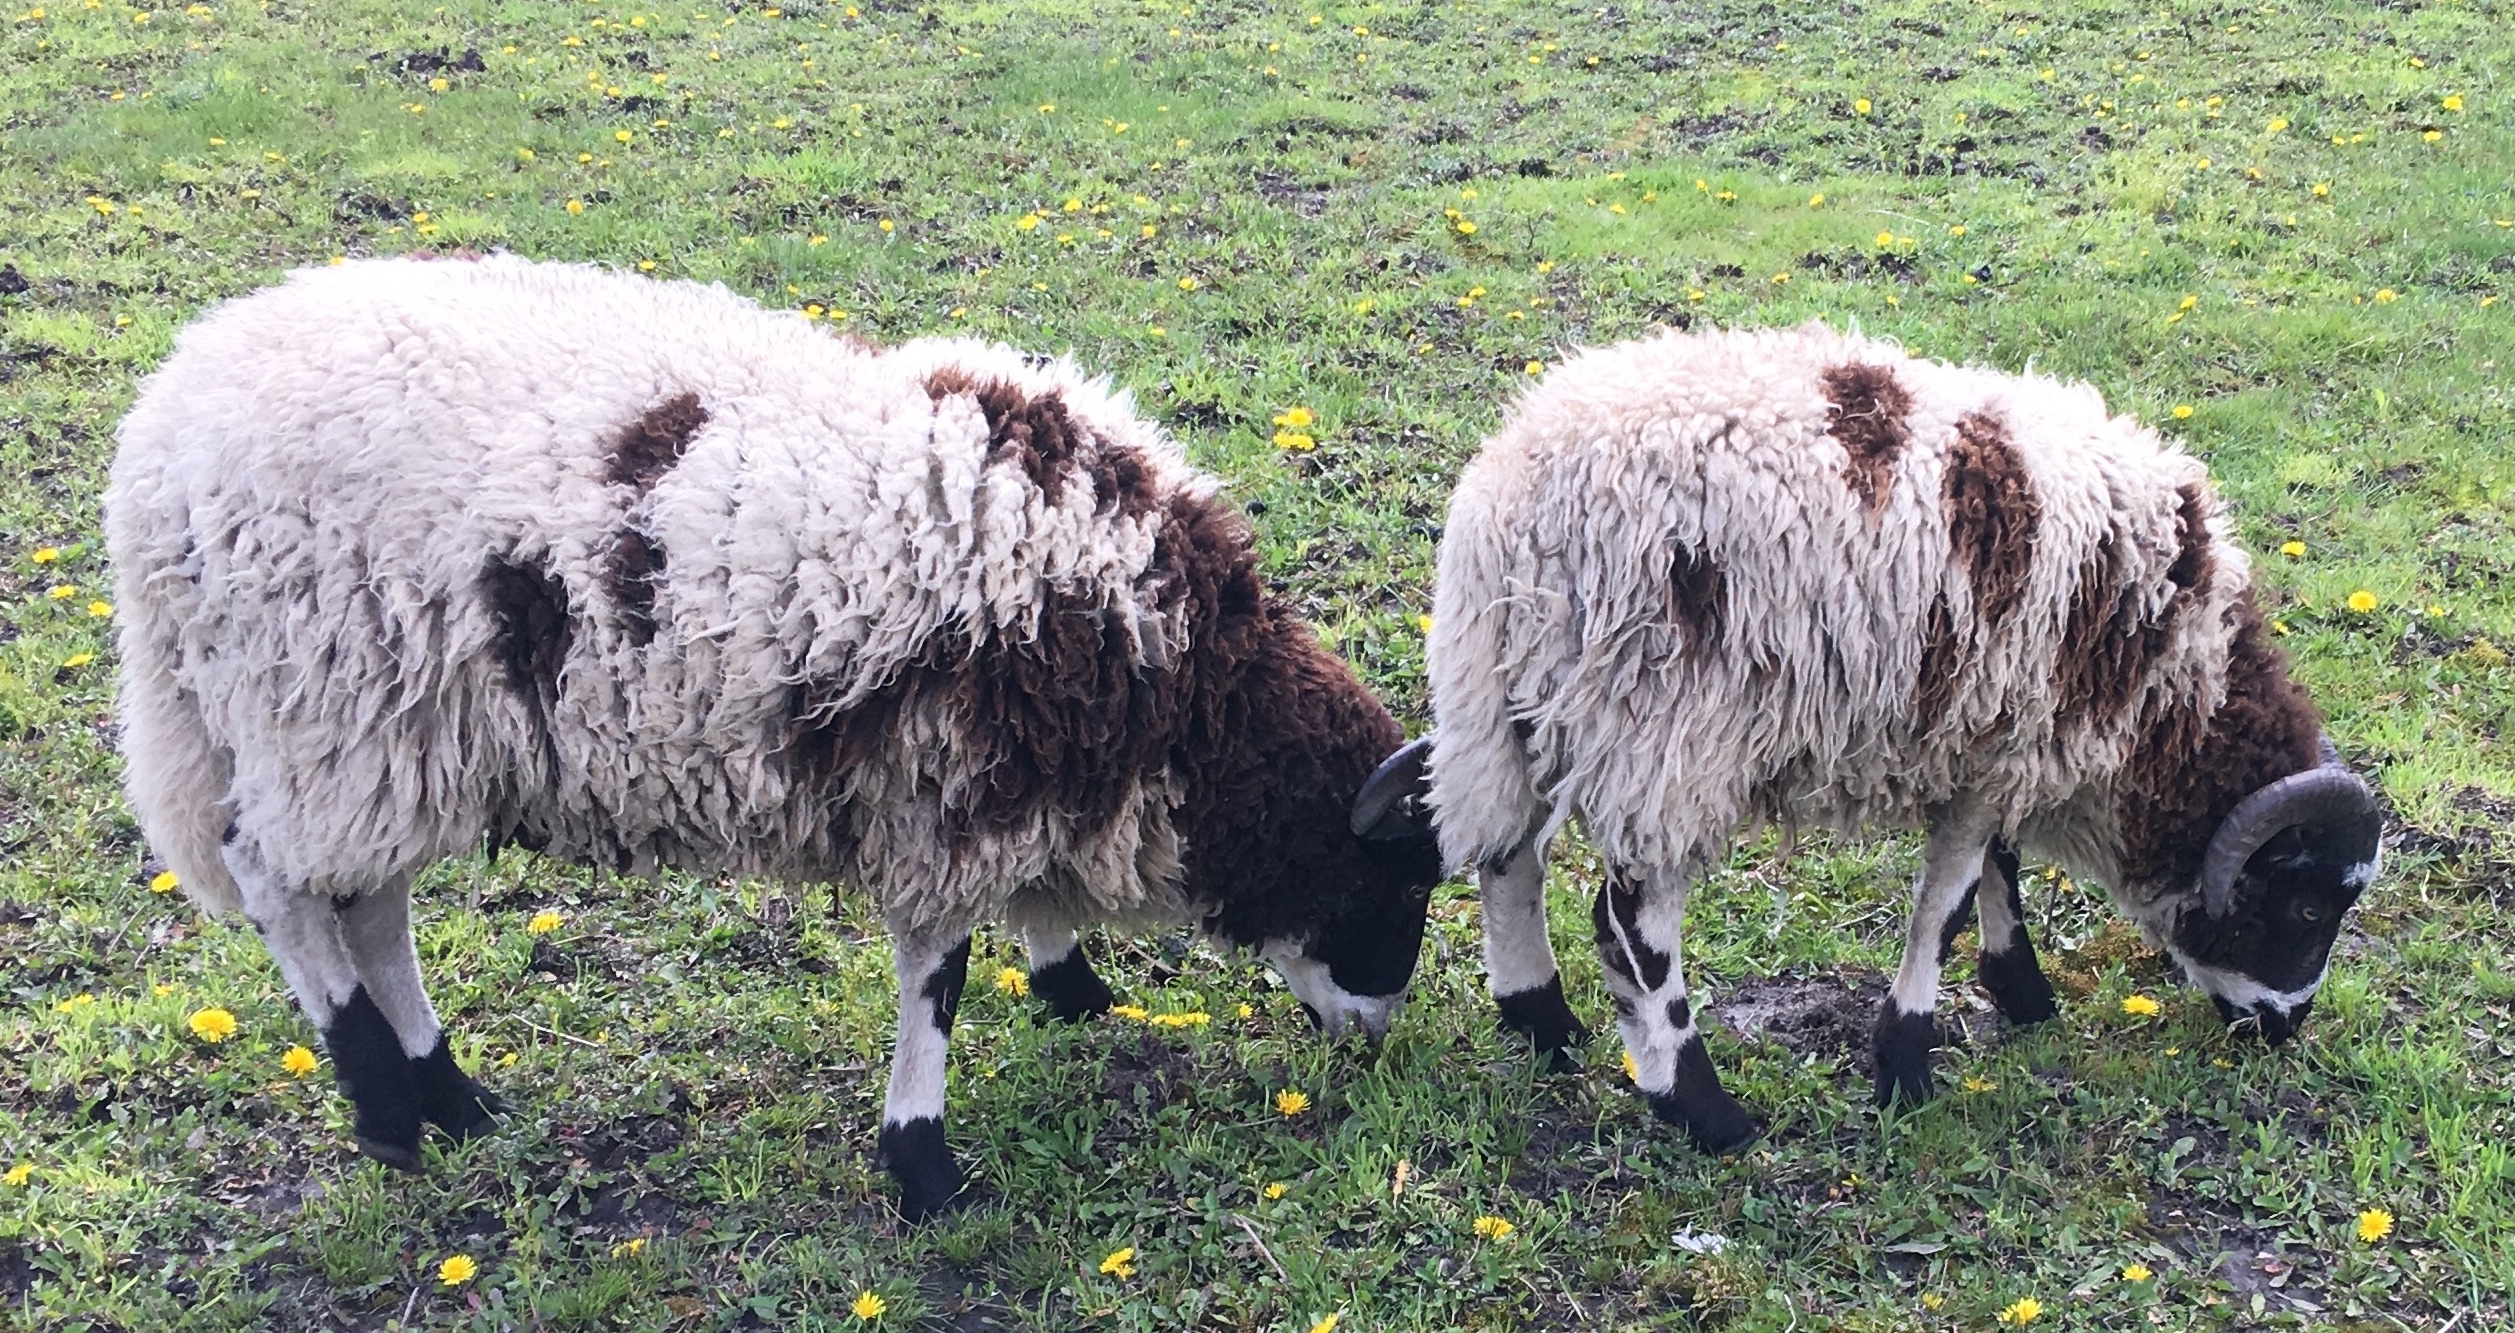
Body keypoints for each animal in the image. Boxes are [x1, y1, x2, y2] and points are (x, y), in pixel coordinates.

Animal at [108, 254, 1448, 1217]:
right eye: (1389, 881)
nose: (1377, 1039)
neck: (1164, 679)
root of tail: (156, 443)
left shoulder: (1011, 776)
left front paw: (1070, 985)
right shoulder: (946, 794)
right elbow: (938, 978)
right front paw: (926, 1165)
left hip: (396, 736)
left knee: (370, 902)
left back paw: (453, 1097)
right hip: (319, 702)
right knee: (283, 887)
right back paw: (386, 1106)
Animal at [1368, 321, 2384, 1151]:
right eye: (2303, 908)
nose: (2283, 1029)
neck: (2168, 686)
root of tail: (1513, 498)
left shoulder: (1993, 735)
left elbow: (1997, 868)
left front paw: (2022, 992)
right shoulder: (2003, 738)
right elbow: (1945, 901)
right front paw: (1905, 1063)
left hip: (1515, 704)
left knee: (1505, 858)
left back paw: (1543, 1025)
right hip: (1663, 731)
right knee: (1630, 928)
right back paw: (1704, 1112)